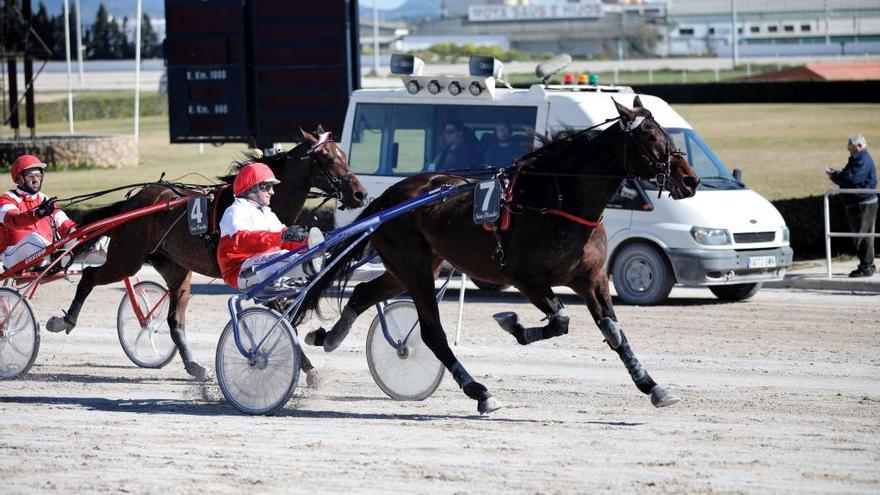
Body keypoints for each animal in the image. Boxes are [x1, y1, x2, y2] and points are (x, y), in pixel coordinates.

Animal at [48, 129, 366, 380]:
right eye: (328, 158)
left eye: (345, 154)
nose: (360, 194)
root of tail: (133, 203)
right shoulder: (254, 274)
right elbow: (281, 316)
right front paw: (306, 367)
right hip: (127, 257)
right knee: (89, 276)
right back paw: (65, 320)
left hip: (176, 269)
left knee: (174, 322)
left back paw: (194, 366)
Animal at [300, 98, 696, 414]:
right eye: (649, 137)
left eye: (666, 133)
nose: (690, 179)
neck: (556, 201)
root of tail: (387, 198)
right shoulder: (526, 278)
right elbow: (560, 321)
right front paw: (513, 324)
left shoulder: (591, 279)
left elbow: (614, 333)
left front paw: (654, 386)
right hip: (414, 268)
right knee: (432, 334)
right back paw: (480, 392)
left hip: (412, 267)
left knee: (364, 293)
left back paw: (329, 337)